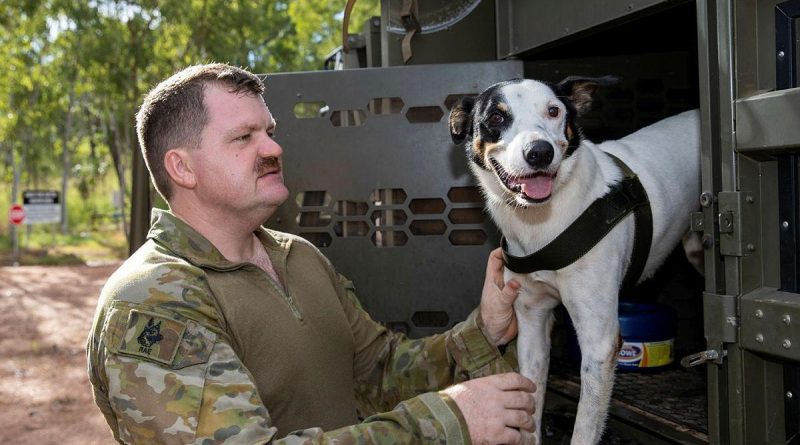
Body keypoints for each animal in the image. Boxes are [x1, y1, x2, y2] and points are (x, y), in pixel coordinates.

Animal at [450, 78, 700, 442]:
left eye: (554, 111)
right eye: (496, 117)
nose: (540, 152)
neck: (542, 223)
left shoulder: (600, 343)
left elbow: (584, 427)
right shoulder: (532, 323)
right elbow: (531, 409)